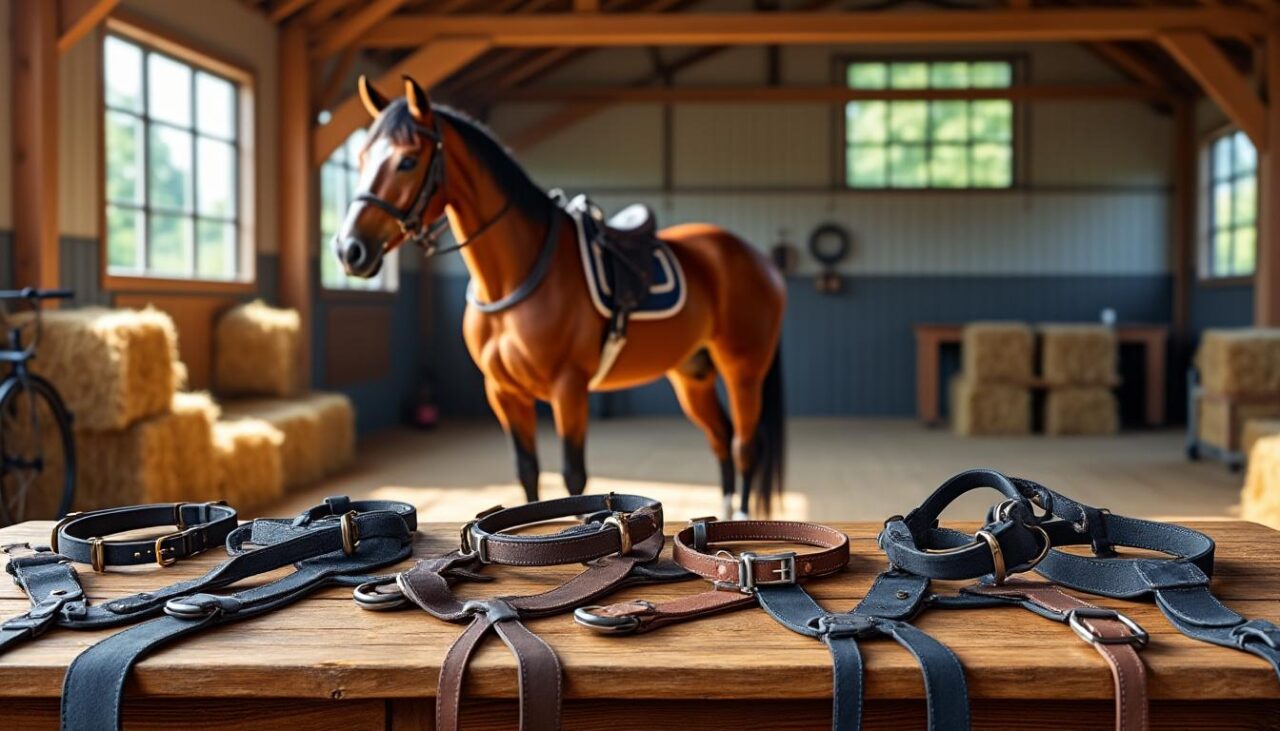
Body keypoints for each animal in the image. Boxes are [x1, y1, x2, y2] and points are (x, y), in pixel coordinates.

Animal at [333, 75, 786, 518]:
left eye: (408, 161)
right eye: (360, 159)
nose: (349, 250)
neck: (516, 278)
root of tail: (759, 260)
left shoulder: (568, 388)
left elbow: (573, 478)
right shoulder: (503, 392)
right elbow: (528, 471)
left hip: (743, 370)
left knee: (745, 446)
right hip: (693, 374)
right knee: (722, 438)